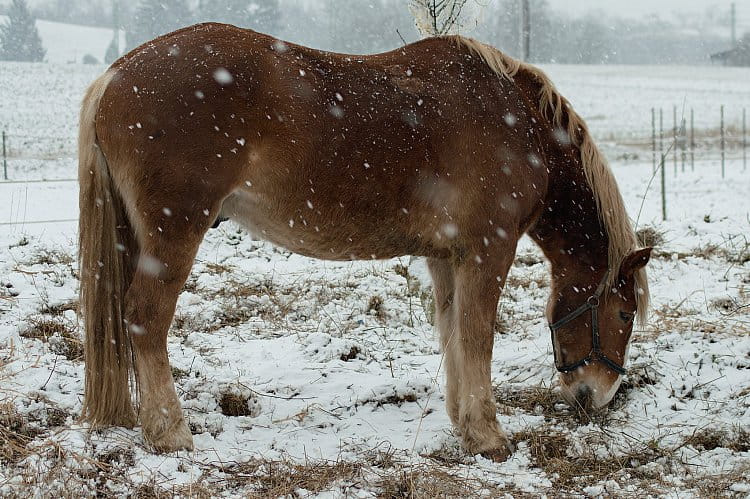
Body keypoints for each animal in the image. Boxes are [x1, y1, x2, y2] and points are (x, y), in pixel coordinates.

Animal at [78, 23, 652, 460]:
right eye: (625, 313)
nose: (597, 397)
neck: (518, 124)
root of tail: (115, 75)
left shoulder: (446, 257)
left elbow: (452, 333)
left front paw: (464, 425)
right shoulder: (489, 248)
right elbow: (477, 336)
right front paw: (489, 437)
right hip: (175, 232)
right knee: (145, 319)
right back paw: (170, 433)